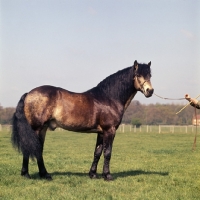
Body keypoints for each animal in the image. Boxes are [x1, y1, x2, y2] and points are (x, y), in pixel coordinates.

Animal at [11, 60, 154, 180]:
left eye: (150, 75)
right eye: (138, 75)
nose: (150, 91)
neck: (108, 98)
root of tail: (29, 94)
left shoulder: (101, 132)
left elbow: (97, 152)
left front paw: (93, 174)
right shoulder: (110, 130)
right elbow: (107, 152)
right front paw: (107, 175)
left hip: (43, 129)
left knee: (38, 149)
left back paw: (44, 174)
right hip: (35, 128)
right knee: (30, 148)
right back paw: (27, 174)